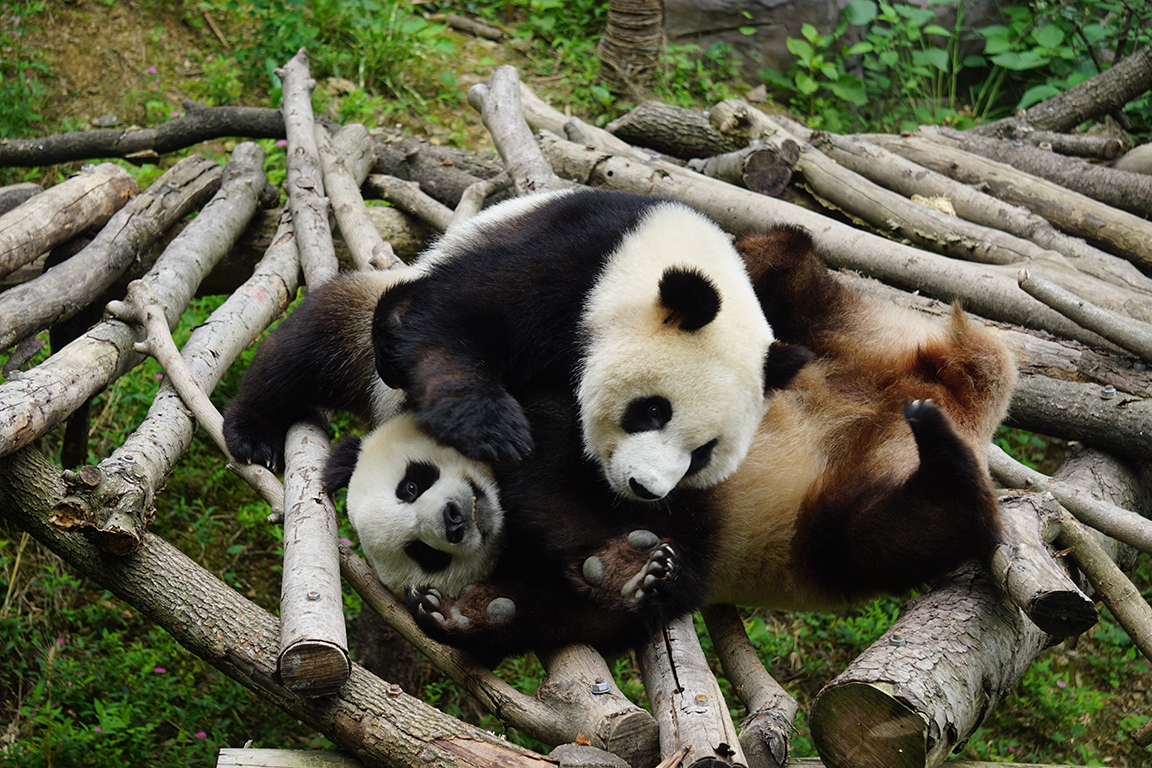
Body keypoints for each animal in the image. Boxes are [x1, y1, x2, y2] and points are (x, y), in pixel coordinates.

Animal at [224, 189, 802, 503]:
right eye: (654, 410)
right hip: (366, 333)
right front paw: (497, 431)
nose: (645, 488)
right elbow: (456, 315)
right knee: (315, 342)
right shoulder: (583, 261)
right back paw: (254, 431)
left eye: (704, 454)